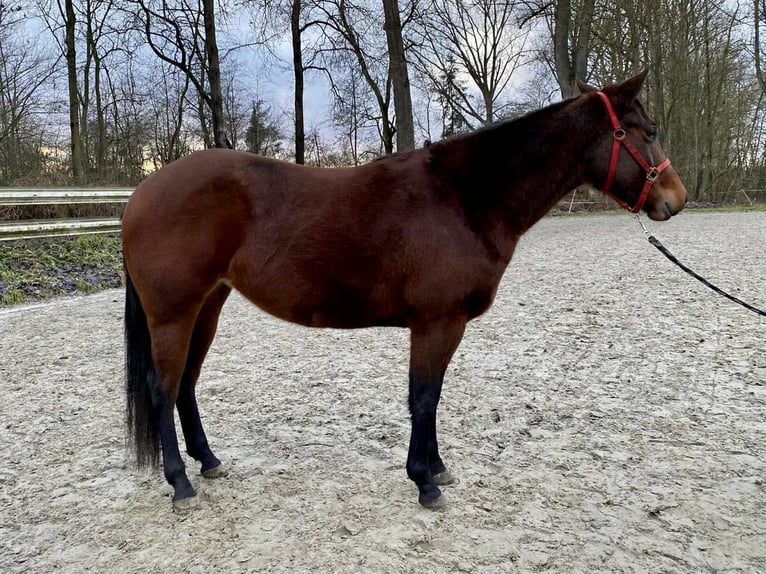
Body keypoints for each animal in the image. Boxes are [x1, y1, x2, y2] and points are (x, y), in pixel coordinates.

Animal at [122, 70, 687, 511]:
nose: (676, 199)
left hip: (208, 305)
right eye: (650, 131)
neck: (463, 199)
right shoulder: (438, 322)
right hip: (174, 312)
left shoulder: (442, 325)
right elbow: (424, 396)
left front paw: (435, 469)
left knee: (187, 385)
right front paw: (424, 481)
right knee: (163, 388)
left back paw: (208, 461)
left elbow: (431, 396)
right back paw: (180, 484)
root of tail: (143, 190)